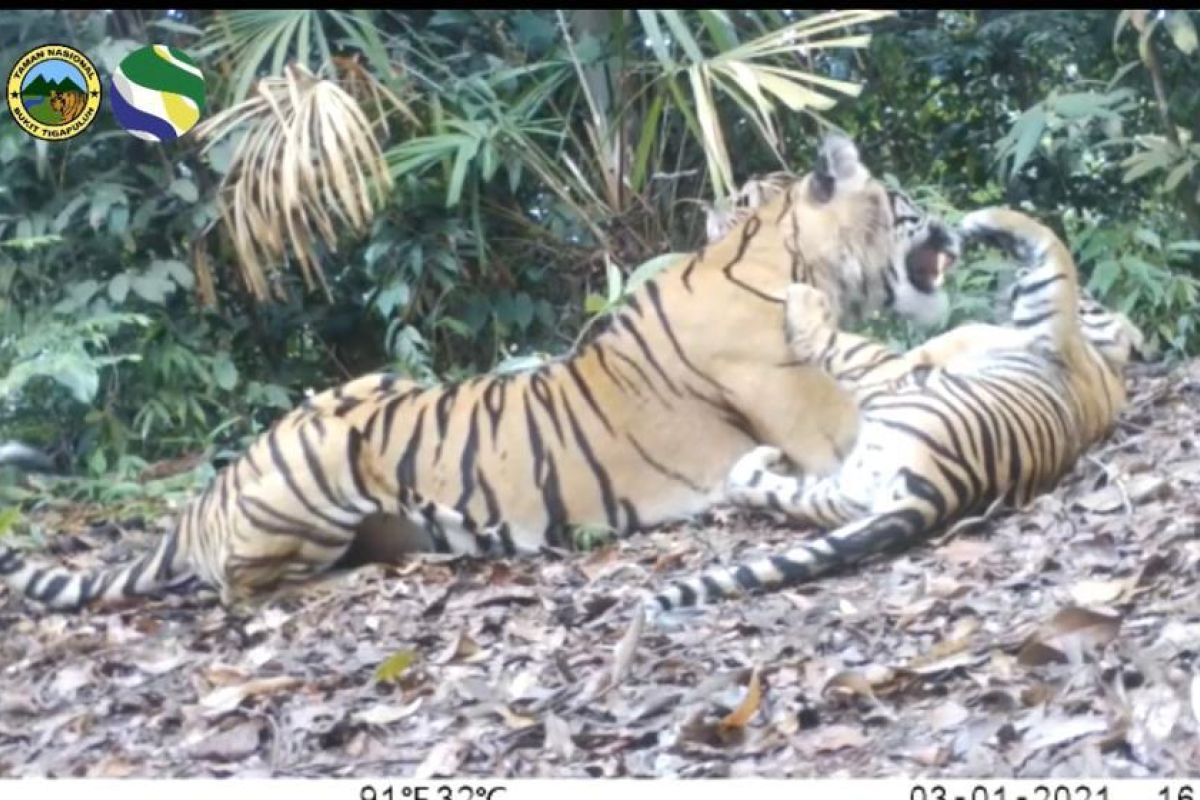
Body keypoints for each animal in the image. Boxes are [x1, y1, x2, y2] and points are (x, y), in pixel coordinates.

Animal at [0, 136, 955, 614]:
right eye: (909, 207)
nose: (951, 225)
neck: (780, 256)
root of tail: (207, 495)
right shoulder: (824, 428)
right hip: (321, 454)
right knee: (245, 585)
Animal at [652, 208, 1147, 614]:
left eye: (1093, 303)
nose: (1013, 283)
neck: (1107, 365)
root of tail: (935, 496)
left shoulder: (1045, 313)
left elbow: (1052, 244)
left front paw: (979, 221)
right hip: (841, 492)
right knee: (759, 485)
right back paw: (762, 458)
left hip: (887, 383)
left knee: (829, 343)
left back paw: (802, 298)